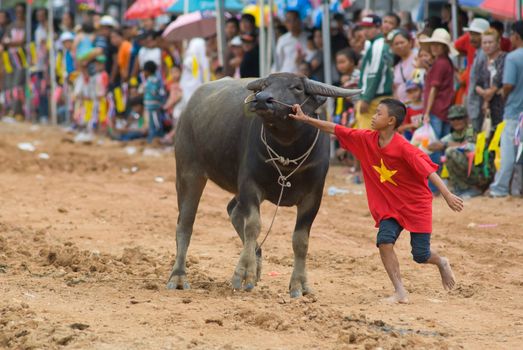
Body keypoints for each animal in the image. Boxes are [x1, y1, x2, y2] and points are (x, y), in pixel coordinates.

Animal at [168, 74, 360, 298]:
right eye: (265, 85)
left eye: (297, 87)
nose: (261, 99)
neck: (287, 151)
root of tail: (188, 108)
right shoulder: (249, 186)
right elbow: (253, 225)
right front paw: (244, 273)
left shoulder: (313, 197)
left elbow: (301, 240)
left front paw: (299, 284)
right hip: (189, 172)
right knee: (185, 224)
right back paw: (178, 276)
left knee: (232, 210)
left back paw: (257, 260)